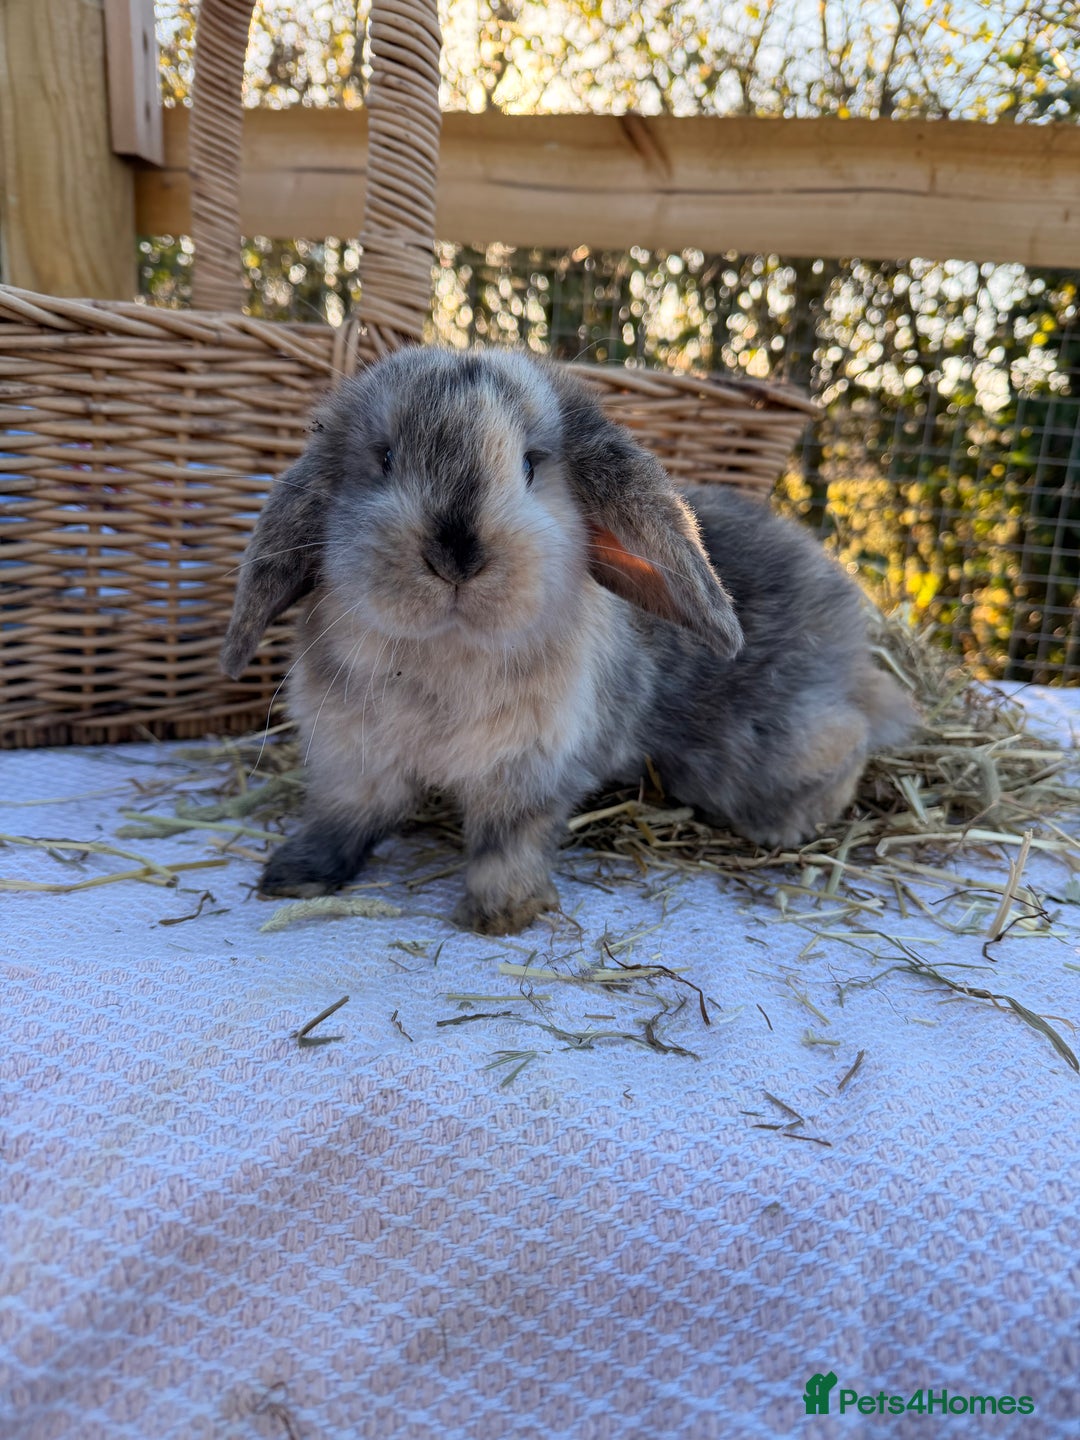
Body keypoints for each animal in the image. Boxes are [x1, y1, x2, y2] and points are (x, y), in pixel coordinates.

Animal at [222, 346, 916, 935]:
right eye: (386, 458)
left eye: (531, 465)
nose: (455, 556)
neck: (447, 654)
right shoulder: (353, 758)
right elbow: (344, 816)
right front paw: (293, 877)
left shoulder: (529, 772)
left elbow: (507, 843)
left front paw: (502, 915)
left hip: (767, 752)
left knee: (849, 742)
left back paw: (790, 827)